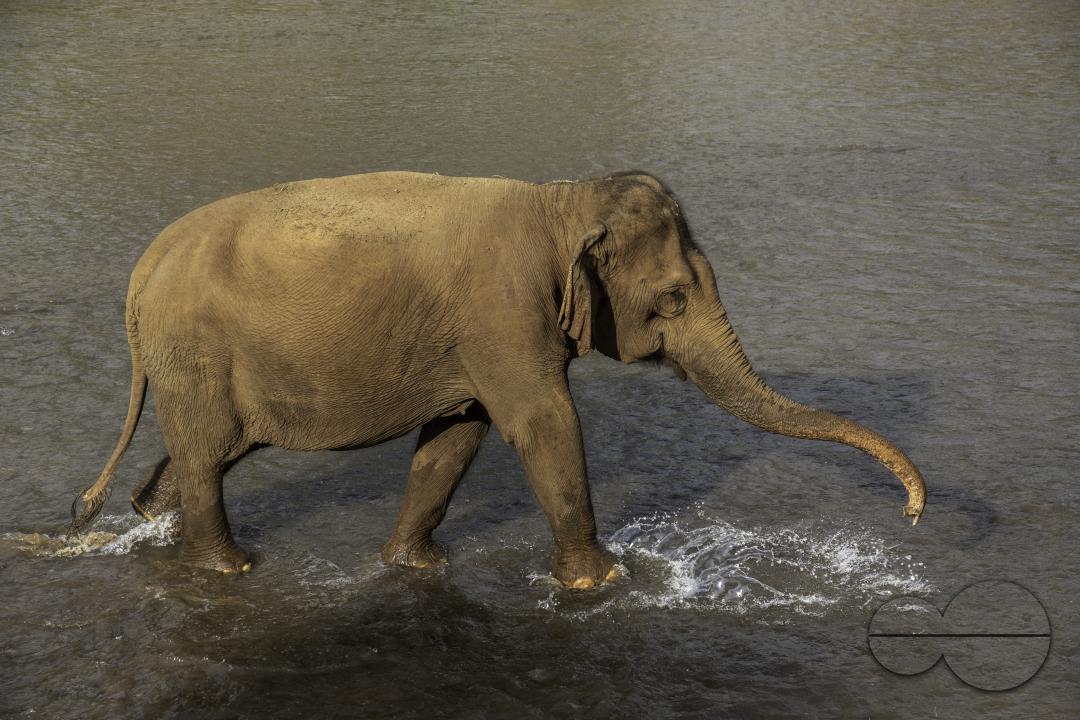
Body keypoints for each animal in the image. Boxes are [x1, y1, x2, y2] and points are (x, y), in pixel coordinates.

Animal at [69, 170, 926, 588]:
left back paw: (152, 521)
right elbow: (544, 424)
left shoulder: (474, 339)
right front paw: (601, 583)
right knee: (210, 455)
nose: (915, 513)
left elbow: (460, 433)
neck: (563, 203)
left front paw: (415, 567)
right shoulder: (504, 313)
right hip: (197, 354)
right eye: (675, 298)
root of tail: (139, 276)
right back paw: (231, 567)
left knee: (207, 453)